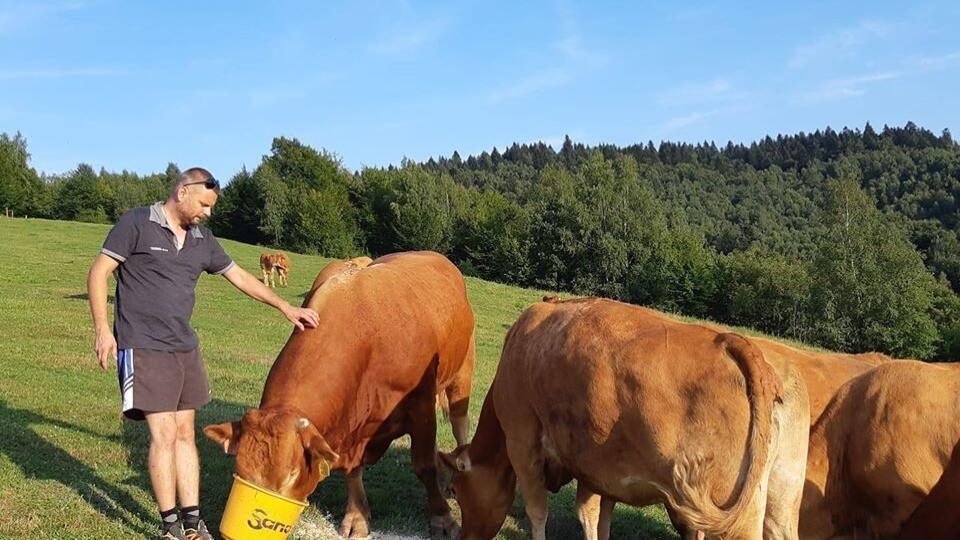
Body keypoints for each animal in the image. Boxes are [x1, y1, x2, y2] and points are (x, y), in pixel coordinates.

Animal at [204, 253, 474, 540]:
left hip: (462, 373)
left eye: (291, 473)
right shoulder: (351, 427)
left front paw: (443, 518)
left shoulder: (420, 405)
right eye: (239, 468)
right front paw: (357, 516)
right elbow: (352, 471)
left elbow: (424, 465)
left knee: (460, 426)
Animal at [440, 298, 808, 536]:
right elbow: (595, 517)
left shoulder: (522, 441)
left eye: (455, 490)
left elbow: (538, 511)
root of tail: (728, 340)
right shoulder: (597, 468)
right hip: (778, 495)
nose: (463, 537)